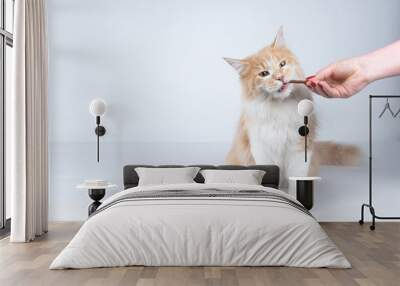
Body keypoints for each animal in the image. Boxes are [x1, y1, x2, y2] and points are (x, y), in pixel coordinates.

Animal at [225, 26, 360, 188]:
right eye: (264, 73)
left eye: (282, 64)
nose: (280, 77)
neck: (280, 108)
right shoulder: (261, 148)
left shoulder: (299, 148)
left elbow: (296, 179)